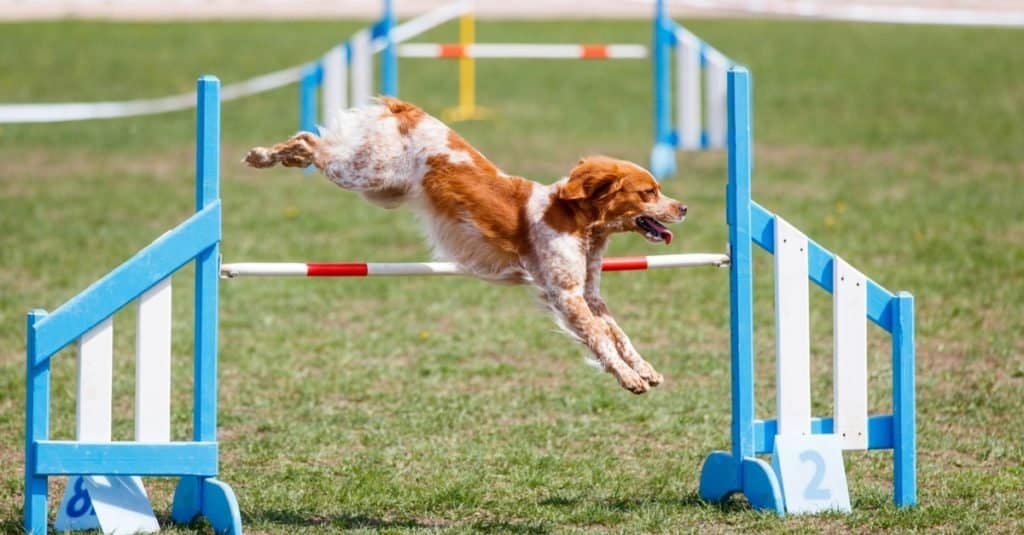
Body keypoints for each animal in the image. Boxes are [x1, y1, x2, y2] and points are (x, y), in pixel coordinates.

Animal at [243, 96, 688, 391]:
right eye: (648, 192)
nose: (683, 208)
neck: (578, 223)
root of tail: (408, 109)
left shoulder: (589, 293)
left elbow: (618, 333)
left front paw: (644, 368)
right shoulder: (565, 295)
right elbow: (600, 338)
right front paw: (628, 377)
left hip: (383, 188)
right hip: (367, 173)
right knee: (311, 143)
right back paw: (264, 155)